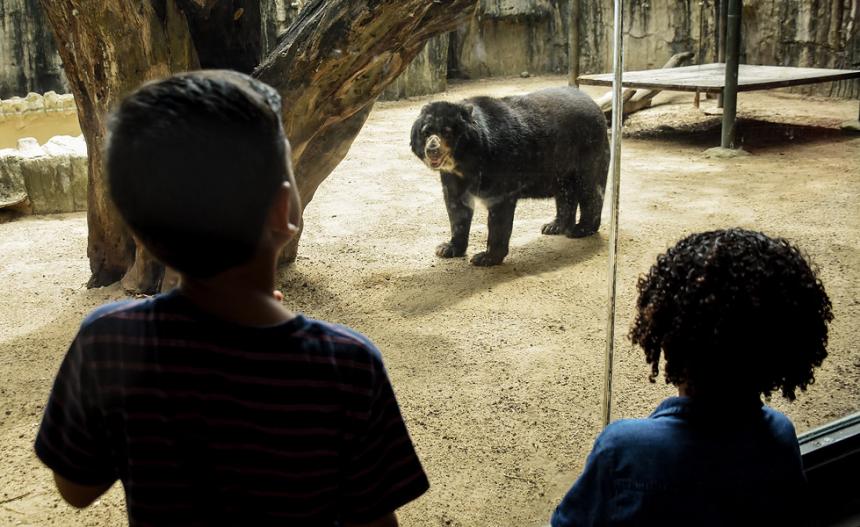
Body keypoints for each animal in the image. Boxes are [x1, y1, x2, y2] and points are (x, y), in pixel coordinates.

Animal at [412, 89, 612, 268]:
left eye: (447, 132)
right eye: (426, 132)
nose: (432, 149)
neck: (465, 161)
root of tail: (596, 105)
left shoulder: (500, 165)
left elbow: (499, 213)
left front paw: (485, 258)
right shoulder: (452, 176)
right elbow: (456, 206)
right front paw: (447, 248)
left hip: (588, 149)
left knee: (589, 187)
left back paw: (581, 229)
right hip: (561, 163)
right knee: (565, 192)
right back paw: (554, 226)